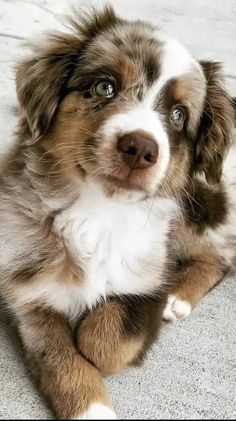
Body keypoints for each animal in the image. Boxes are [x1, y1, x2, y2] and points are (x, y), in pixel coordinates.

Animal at [0, 4, 236, 418]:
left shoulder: (150, 275)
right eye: (105, 87)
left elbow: (106, 339)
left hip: (198, 208)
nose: (140, 148)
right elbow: (62, 361)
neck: (97, 211)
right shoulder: (29, 298)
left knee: (220, 256)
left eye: (178, 115)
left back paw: (177, 299)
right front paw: (92, 409)